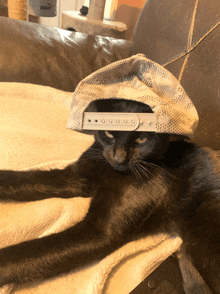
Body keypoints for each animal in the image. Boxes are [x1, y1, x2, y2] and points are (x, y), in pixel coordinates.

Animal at [0, 100, 220, 292]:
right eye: (109, 133)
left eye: (141, 139)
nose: (119, 157)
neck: (109, 171)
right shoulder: (74, 177)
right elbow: (26, 180)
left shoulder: (99, 231)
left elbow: (31, 252)